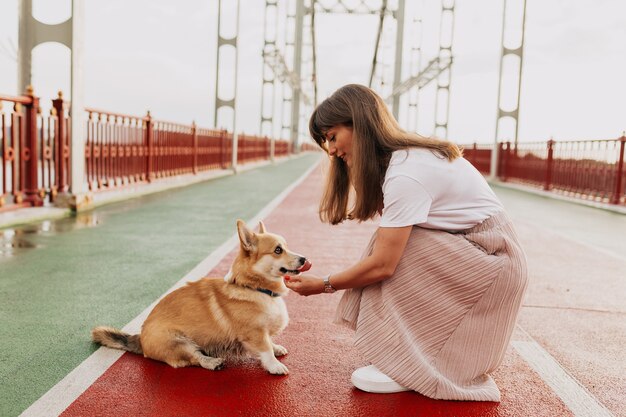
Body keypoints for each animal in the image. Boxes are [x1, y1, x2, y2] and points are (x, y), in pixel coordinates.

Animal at [91, 219, 310, 376]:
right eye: (278, 250)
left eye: (286, 246)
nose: (304, 259)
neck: (254, 288)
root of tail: (141, 338)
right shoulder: (254, 334)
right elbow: (265, 350)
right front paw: (274, 366)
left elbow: (270, 343)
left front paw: (277, 347)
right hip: (179, 342)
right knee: (195, 358)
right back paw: (213, 362)